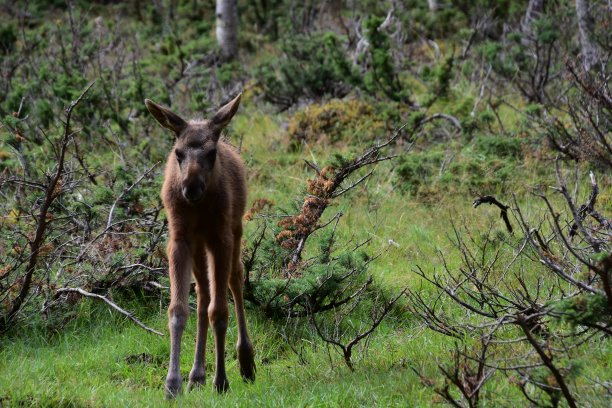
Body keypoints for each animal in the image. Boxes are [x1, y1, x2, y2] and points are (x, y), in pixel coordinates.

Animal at [145, 94, 255, 396]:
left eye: (211, 153)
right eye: (178, 153)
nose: (190, 188)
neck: (200, 209)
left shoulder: (220, 237)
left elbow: (220, 311)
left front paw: (222, 380)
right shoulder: (179, 239)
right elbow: (178, 310)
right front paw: (172, 383)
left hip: (234, 229)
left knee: (235, 279)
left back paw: (245, 360)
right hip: (198, 246)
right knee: (203, 293)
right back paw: (196, 374)